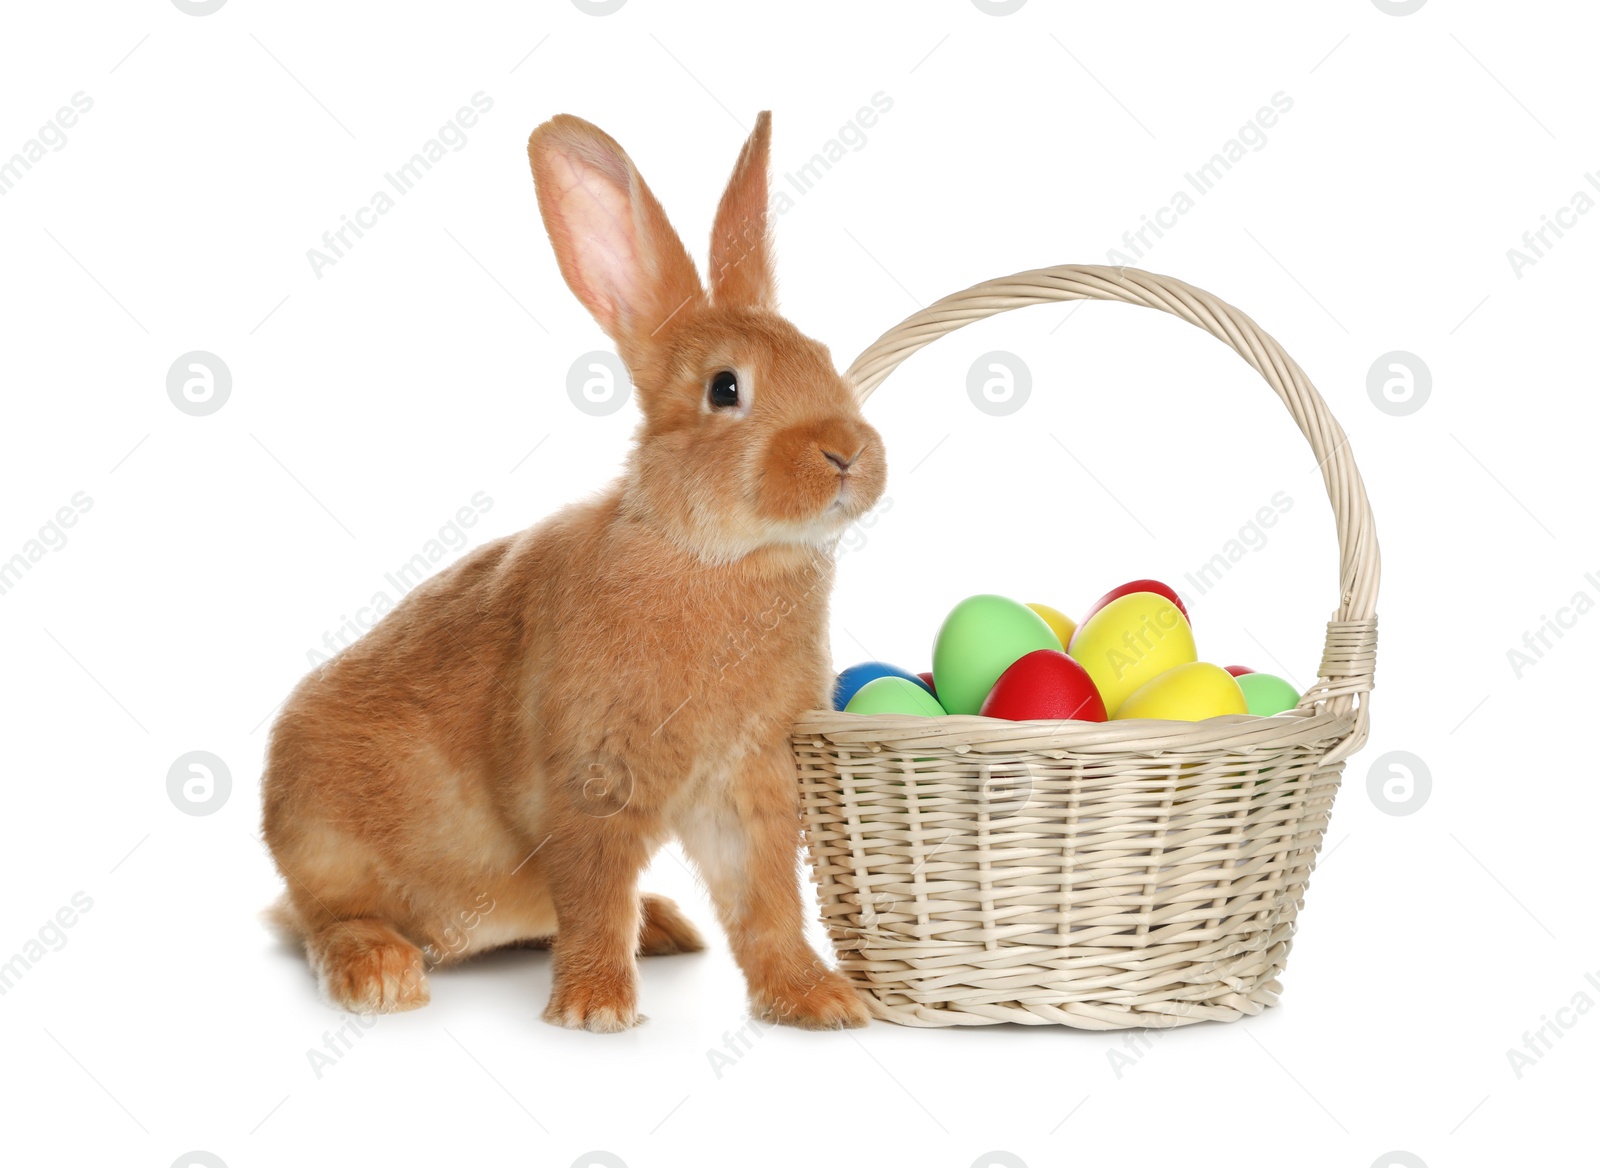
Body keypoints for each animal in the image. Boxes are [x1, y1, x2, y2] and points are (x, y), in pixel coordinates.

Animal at [262, 111, 889, 1030]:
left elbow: (768, 903)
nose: (846, 451)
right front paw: (595, 1010)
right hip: (323, 836)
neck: (711, 553)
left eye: (823, 354)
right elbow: (595, 894)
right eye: (725, 388)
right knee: (326, 916)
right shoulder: (590, 781)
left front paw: (822, 1001)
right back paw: (379, 973)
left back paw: (664, 926)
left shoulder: (751, 786)